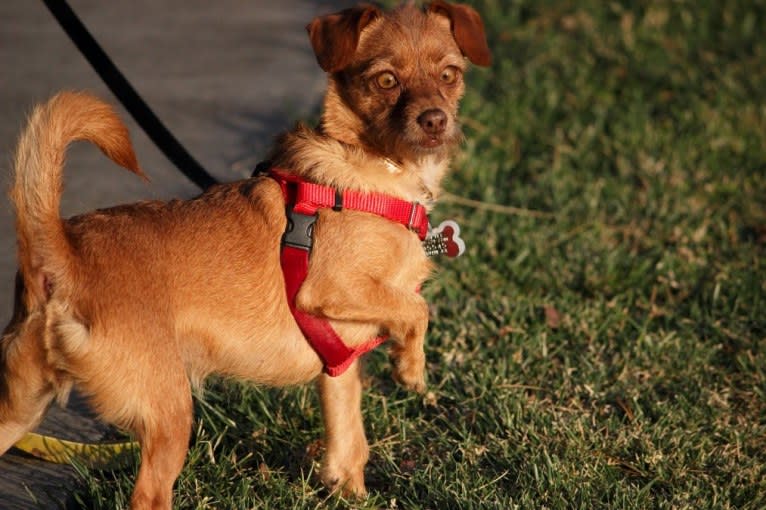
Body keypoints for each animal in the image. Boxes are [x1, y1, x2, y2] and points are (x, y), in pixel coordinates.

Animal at [0, 1, 492, 508]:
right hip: (170, 414)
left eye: (450, 75)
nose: (435, 120)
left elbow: (348, 442)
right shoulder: (331, 289)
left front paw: (350, 491)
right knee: (149, 495)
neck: (377, 174)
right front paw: (410, 367)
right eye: (386, 80)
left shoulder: (338, 367)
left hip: (22, 407)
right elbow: (416, 307)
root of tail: (65, 252)